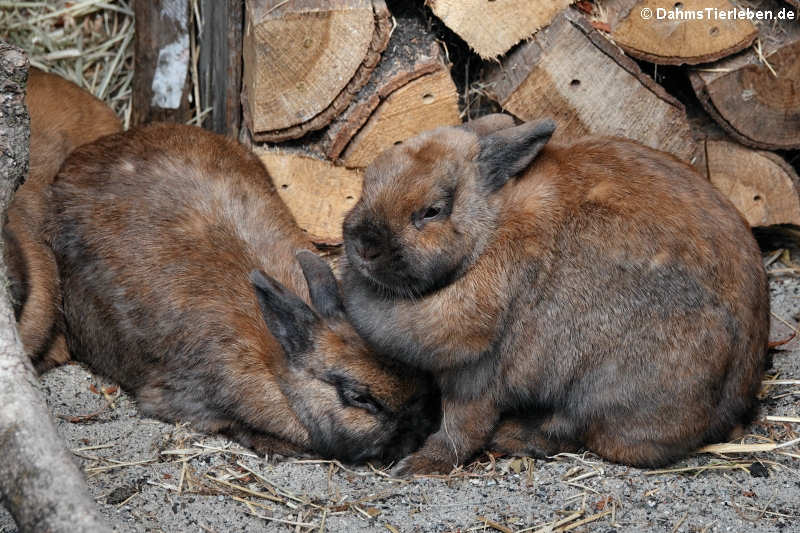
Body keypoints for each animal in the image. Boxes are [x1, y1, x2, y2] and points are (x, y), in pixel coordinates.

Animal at [340, 113, 772, 474]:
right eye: (367, 181)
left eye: (432, 211)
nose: (363, 244)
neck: (491, 229)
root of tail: (733, 404)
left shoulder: (476, 372)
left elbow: (462, 427)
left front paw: (417, 465)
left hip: (603, 386)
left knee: (574, 430)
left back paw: (512, 437)